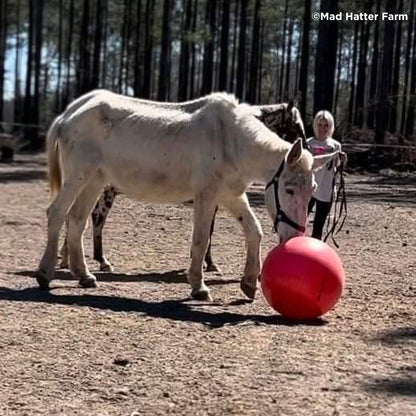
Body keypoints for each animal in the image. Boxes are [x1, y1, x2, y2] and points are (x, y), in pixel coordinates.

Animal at [37, 89, 340, 300]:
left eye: (312, 190)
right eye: (288, 189)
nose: (295, 238)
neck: (231, 139)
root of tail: (68, 115)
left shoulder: (230, 195)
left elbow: (254, 231)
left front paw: (249, 283)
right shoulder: (207, 196)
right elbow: (201, 239)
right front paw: (198, 285)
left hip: (95, 182)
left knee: (77, 220)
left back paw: (84, 275)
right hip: (79, 178)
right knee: (57, 213)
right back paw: (45, 273)